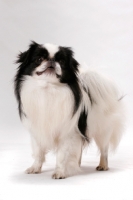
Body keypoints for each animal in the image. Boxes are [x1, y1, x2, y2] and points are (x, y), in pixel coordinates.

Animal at [14, 41, 124, 179]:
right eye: (39, 59)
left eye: (61, 61)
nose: (51, 60)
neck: (48, 89)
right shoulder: (37, 132)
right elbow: (38, 153)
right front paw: (35, 168)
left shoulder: (67, 133)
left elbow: (62, 155)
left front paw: (60, 172)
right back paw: (78, 163)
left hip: (102, 130)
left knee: (104, 149)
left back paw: (103, 166)